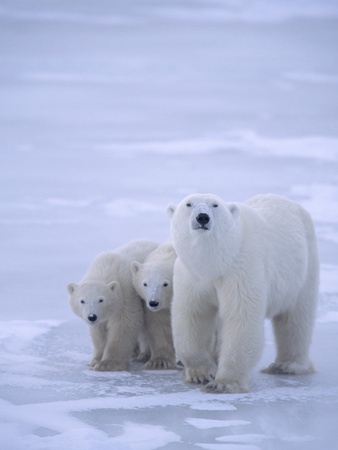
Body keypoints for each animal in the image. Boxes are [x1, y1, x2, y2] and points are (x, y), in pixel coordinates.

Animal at [69, 241, 160, 370]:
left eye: (101, 300)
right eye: (82, 301)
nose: (92, 316)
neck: (105, 269)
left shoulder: (126, 293)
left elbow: (124, 324)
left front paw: (107, 364)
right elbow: (99, 331)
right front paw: (95, 360)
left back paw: (144, 355)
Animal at [131, 241, 177, 370]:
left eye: (165, 284)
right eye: (145, 283)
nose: (153, 302)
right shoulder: (156, 309)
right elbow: (159, 326)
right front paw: (159, 362)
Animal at [168, 193, 320, 394]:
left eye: (215, 205)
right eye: (188, 204)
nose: (202, 217)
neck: (217, 263)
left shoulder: (241, 269)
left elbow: (241, 318)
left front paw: (223, 383)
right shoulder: (192, 276)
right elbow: (192, 316)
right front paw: (201, 374)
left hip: (302, 269)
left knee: (296, 319)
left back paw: (286, 365)